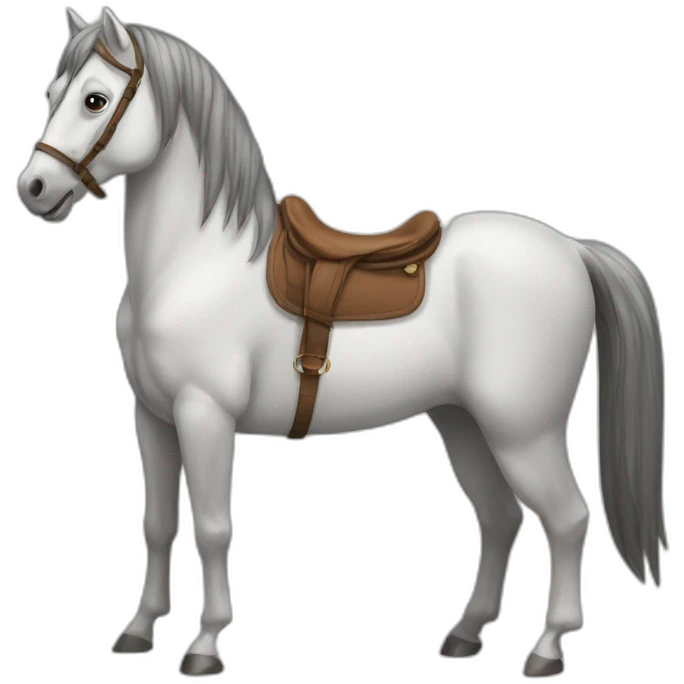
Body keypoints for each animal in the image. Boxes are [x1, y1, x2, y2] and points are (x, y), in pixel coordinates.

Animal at [17, 7, 669, 679]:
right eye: (52, 95)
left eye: (95, 100)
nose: (33, 188)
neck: (191, 265)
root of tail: (570, 250)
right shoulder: (153, 417)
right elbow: (157, 526)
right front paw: (140, 629)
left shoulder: (205, 416)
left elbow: (213, 528)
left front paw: (205, 644)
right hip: (463, 422)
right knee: (500, 517)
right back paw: (466, 634)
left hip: (523, 432)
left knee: (566, 520)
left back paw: (547, 649)